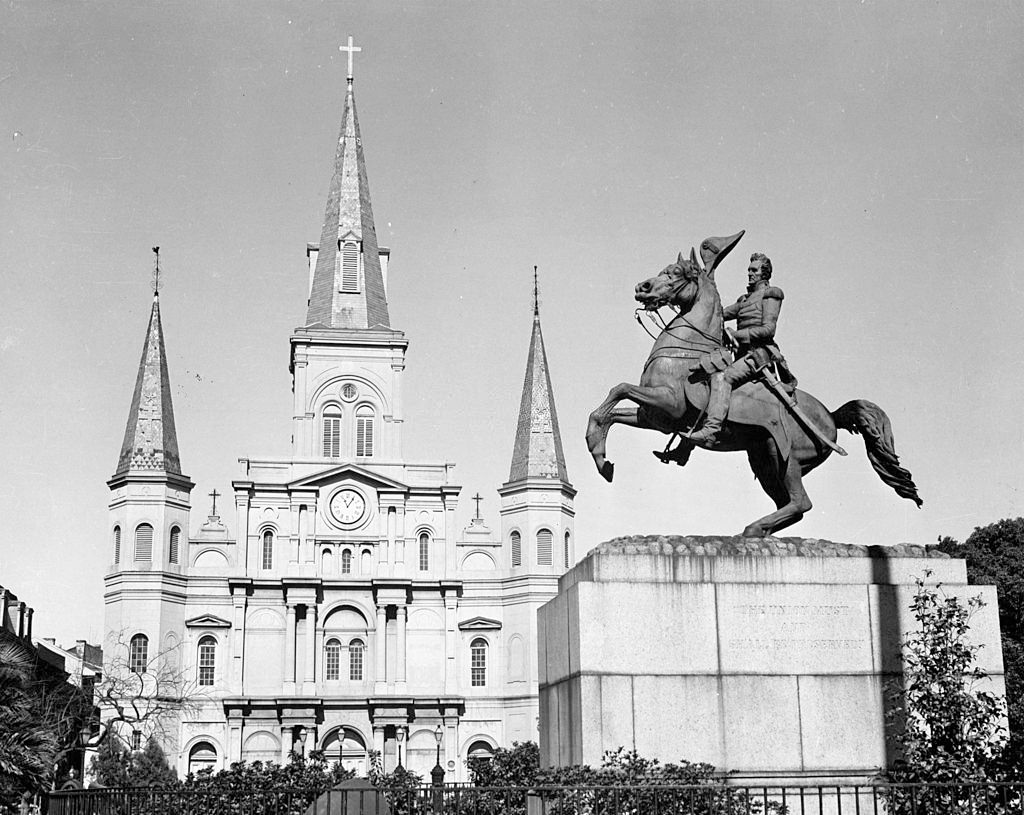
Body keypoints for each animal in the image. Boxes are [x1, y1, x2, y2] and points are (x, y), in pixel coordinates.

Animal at [589, 251, 925, 536]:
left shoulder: (667, 403)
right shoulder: (655, 417)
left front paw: (600, 454)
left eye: (675, 274)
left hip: (784, 457)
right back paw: (756, 532)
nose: (642, 287)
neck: (685, 351)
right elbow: (607, 412)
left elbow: (619, 389)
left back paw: (752, 528)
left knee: (800, 502)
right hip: (763, 461)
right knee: (791, 505)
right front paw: (602, 460)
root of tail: (830, 417)